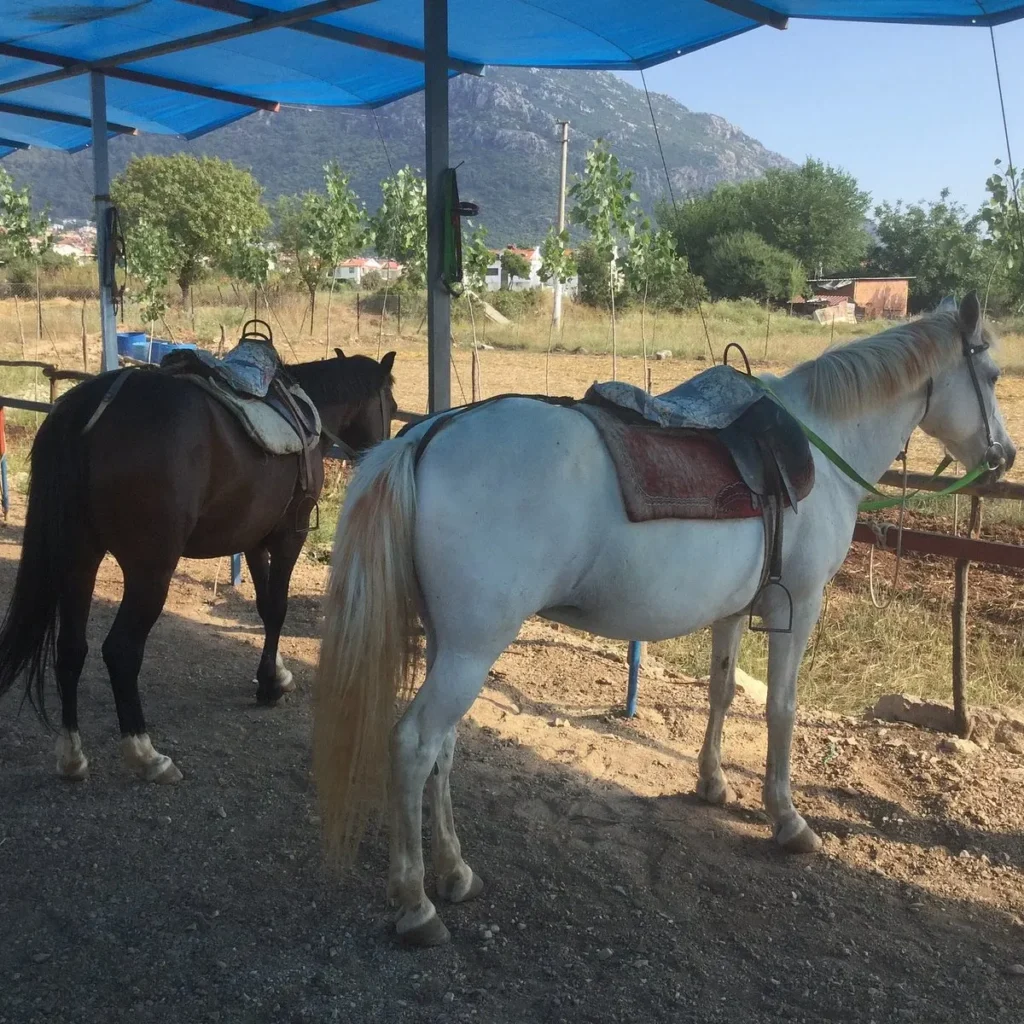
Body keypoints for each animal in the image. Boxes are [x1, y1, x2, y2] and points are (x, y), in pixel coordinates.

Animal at [0, 347, 397, 785]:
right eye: (393, 408)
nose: (382, 460)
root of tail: (91, 409)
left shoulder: (252, 540)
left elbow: (264, 608)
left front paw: (274, 673)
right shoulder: (288, 537)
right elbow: (278, 608)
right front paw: (269, 687)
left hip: (79, 559)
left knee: (71, 649)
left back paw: (72, 756)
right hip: (150, 571)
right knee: (120, 651)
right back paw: (146, 754)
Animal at [312, 294, 1015, 946]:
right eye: (993, 373)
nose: (1004, 456)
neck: (823, 440)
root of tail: (422, 437)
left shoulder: (736, 609)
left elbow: (723, 691)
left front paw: (712, 783)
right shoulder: (799, 606)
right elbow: (781, 708)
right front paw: (787, 819)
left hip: (450, 644)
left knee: (444, 748)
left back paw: (455, 873)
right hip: (471, 650)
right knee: (414, 745)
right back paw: (416, 903)